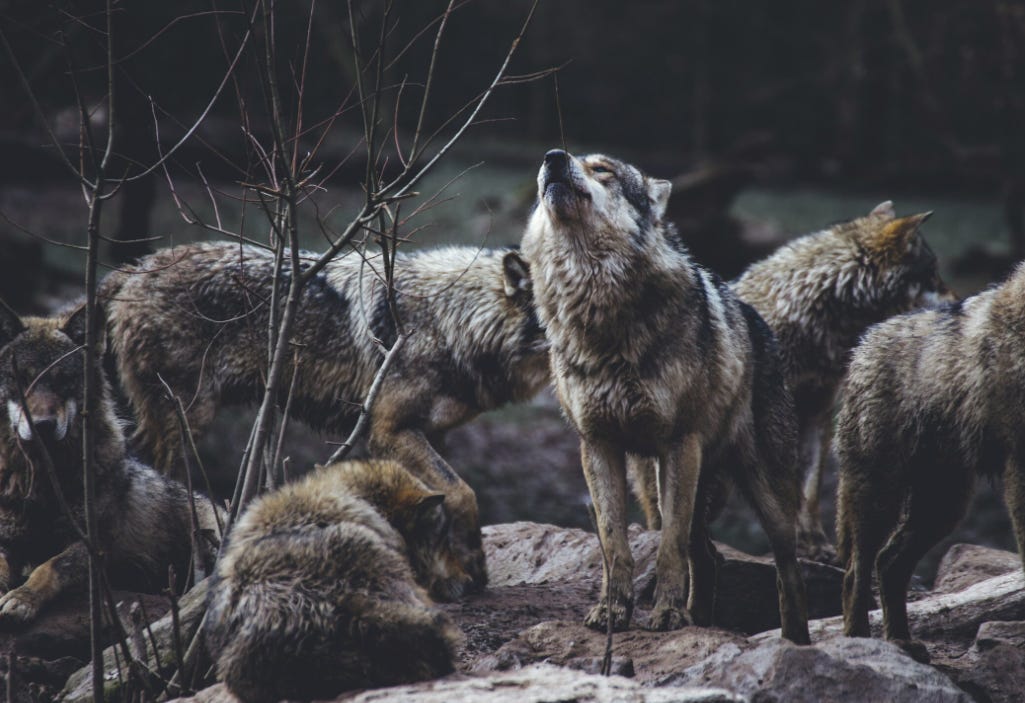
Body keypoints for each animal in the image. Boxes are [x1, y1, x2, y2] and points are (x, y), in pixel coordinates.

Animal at [0, 302, 223, 624]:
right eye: (23, 380)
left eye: (63, 380)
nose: (43, 425)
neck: (43, 481)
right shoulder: (8, 539)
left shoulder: (95, 545)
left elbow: (50, 566)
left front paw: (22, 598)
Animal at [100, 243, 548, 598]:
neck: (451, 320)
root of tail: (134, 267)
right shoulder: (389, 431)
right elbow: (462, 493)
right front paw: (473, 567)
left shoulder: (432, 433)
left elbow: (442, 502)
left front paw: (455, 572)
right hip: (185, 421)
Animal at [521, 149, 809, 643]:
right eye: (562, 159)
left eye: (603, 170)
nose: (553, 158)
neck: (598, 310)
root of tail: (758, 321)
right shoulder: (597, 446)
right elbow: (614, 544)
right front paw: (613, 612)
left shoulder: (679, 443)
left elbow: (668, 548)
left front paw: (669, 615)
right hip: (657, 484)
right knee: (709, 557)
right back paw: (702, 621)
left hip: (763, 494)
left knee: (786, 572)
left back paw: (795, 642)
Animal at [631, 203, 953, 562]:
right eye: (933, 273)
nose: (958, 300)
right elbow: (792, 493)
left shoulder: (818, 413)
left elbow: (809, 493)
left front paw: (815, 545)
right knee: (661, 518)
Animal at [836, 261, 1025, 663]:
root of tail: (863, 343)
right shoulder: (1019, 465)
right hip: (881, 496)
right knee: (856, 570)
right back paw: (860, 641)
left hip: (942, 506)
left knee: (888, 562)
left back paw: (901, 642)